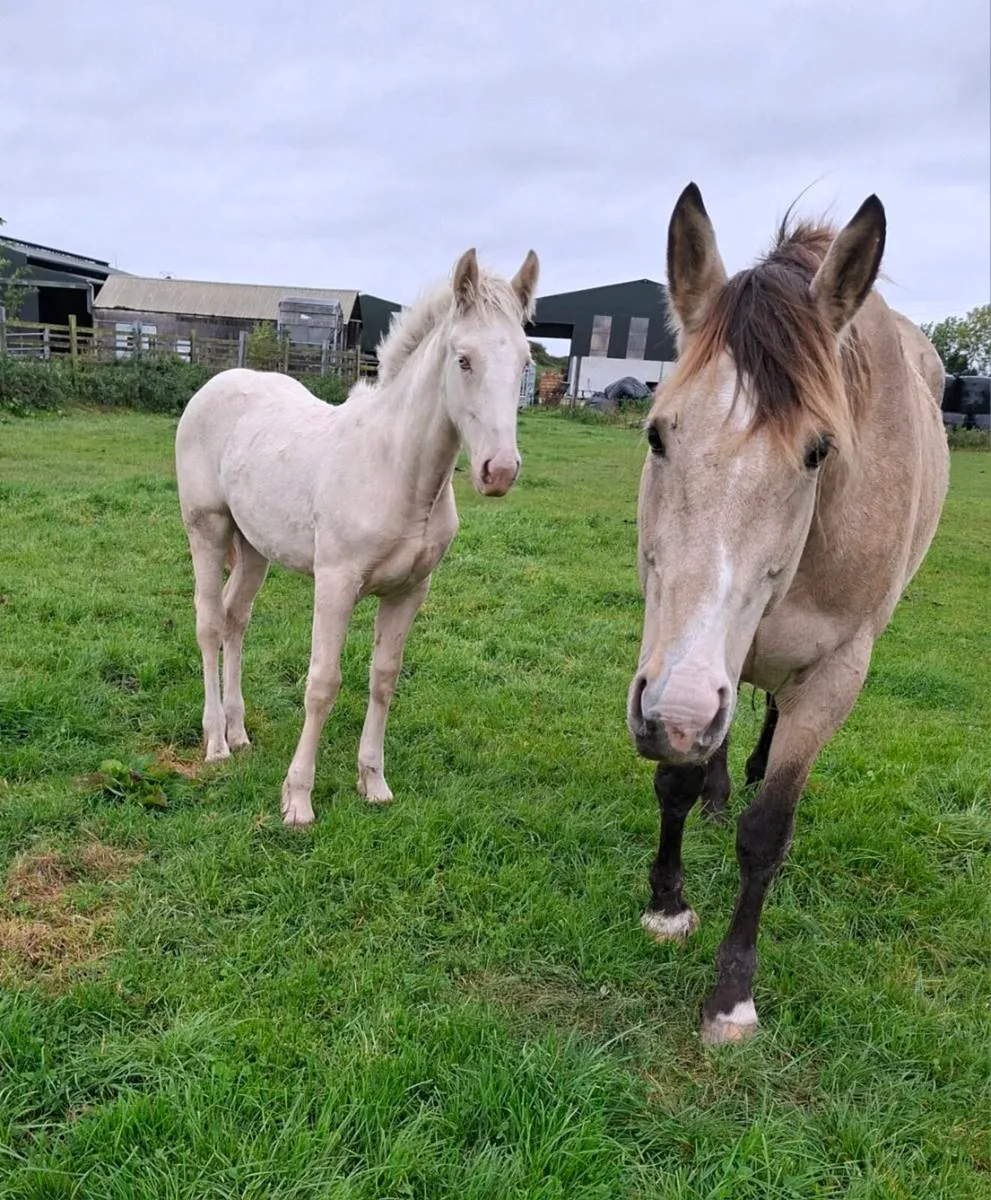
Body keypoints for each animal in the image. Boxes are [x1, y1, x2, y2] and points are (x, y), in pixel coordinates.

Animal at [175, 247, 539, 826]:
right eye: (462, 359)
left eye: (525, 363)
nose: (498, 471)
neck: (398, 470)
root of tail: (215, 384)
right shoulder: (336, 583)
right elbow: (322, 683)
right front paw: (298, 800)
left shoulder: (411, 590)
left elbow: (383, 677)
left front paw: (373, 782)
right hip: (207, 529)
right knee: (209, 624)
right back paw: (215, 744)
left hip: (254, 547)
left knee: (236, 619)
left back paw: (239, 732)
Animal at [627, 184, 948, 1045]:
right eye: (656, 434)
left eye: (817, 452)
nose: (675, 715)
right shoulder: (674, 643)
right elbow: (673, 780)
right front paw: (667, 903)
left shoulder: (836, 671)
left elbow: (768, 831)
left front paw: (731, 994)